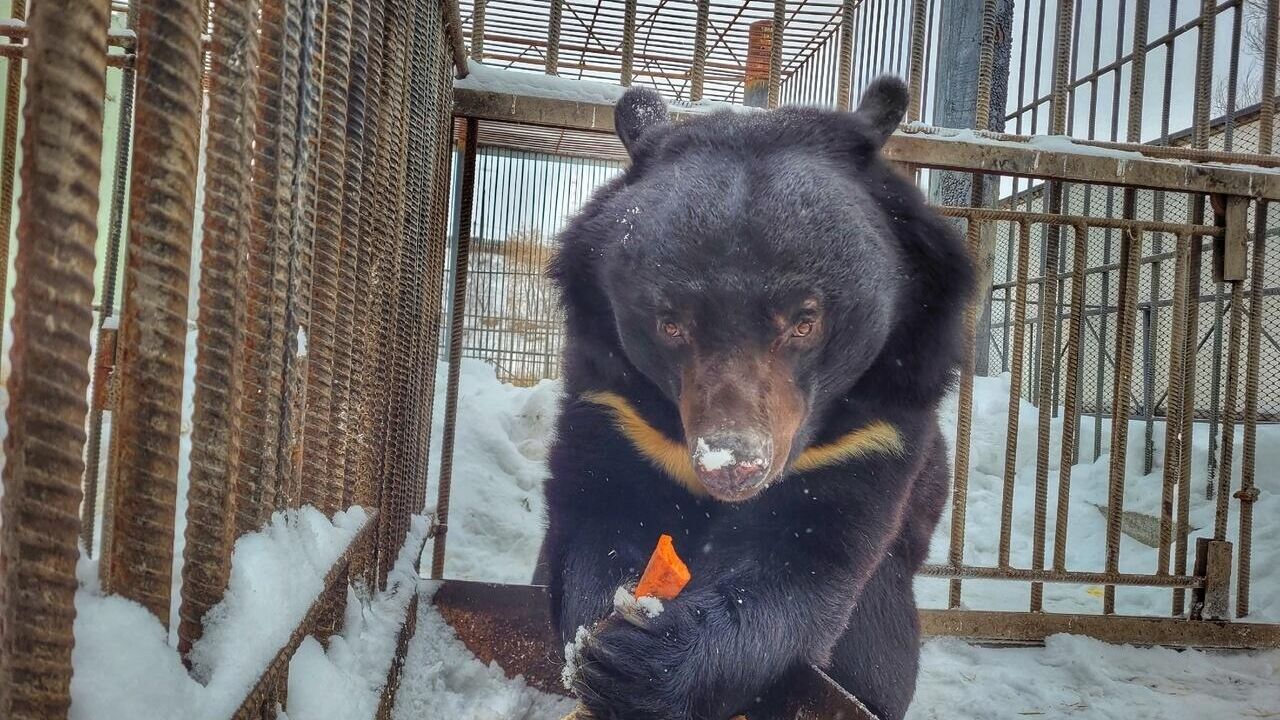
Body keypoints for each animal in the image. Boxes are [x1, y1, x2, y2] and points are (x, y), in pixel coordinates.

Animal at [537, 77, 967, 717]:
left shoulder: (874, 434)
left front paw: (642, 663)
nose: (733, 467)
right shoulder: (616, 408)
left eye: (805, 321)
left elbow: (801, 560)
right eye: (671, 324)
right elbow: (598, 513)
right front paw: (600, 640)